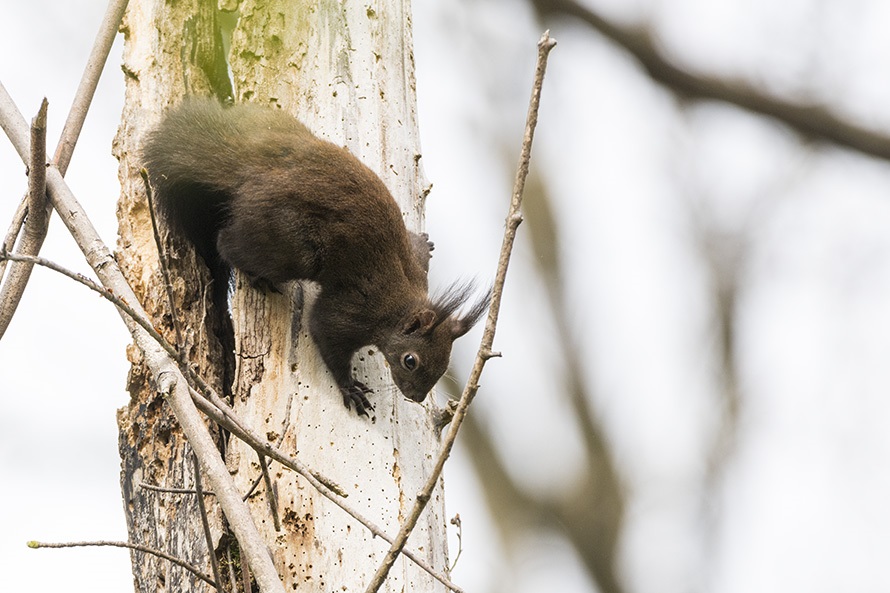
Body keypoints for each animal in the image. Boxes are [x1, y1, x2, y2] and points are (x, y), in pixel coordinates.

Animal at [142, 98, 489, 417]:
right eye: (410, 361)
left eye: (443, 365)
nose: (415, 397)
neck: (399, 305)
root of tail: (250, 169)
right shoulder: (357, 307)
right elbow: (324, 329)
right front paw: (350, 388)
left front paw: (425, 243)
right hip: (291, 247)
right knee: (225, 243)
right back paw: (256, 274)